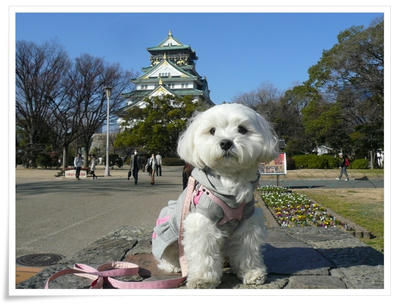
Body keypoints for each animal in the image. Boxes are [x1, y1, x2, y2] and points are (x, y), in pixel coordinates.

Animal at [152, 102, 276, 288]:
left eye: (242, 129)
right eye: (212, 130)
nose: (226, 143)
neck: (229, 181)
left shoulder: (248, 221)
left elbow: (247, 249)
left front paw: (252, 273)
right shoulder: (203, 221)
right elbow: (203, 253)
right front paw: (202, 280)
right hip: (170, 236)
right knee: (168, 256)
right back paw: (173, 266)